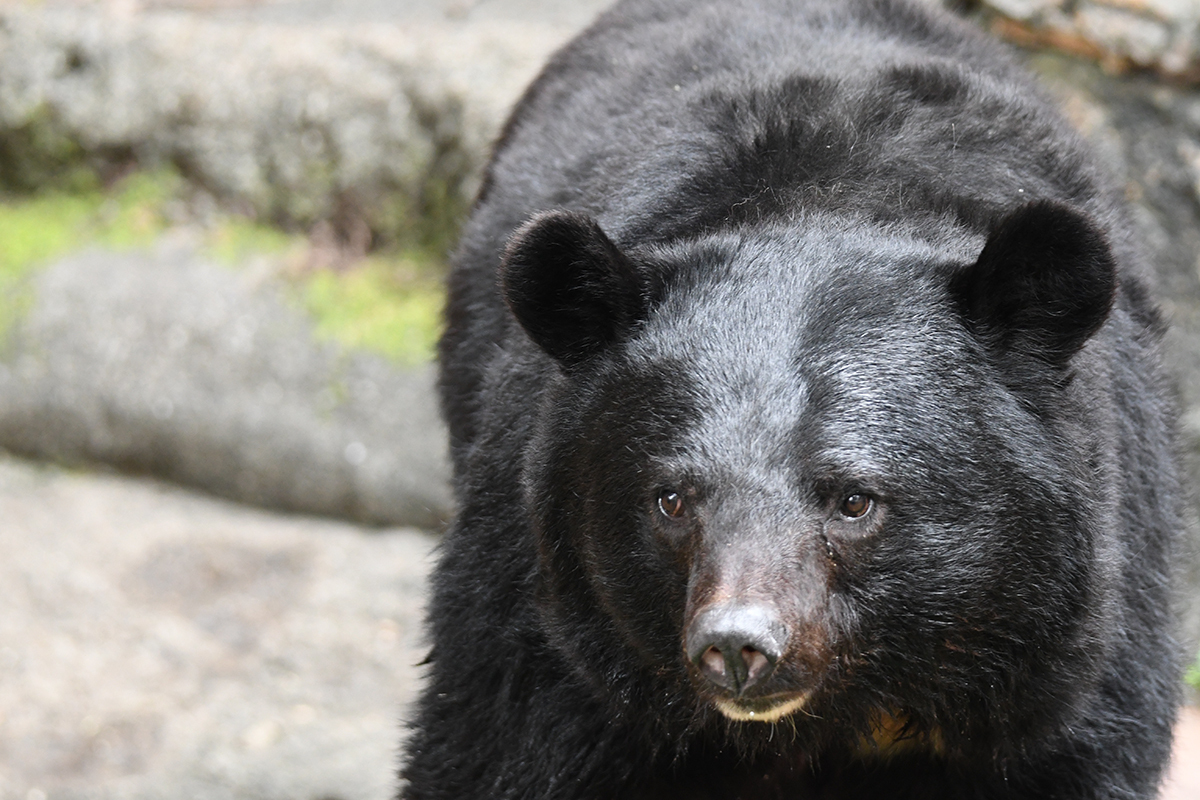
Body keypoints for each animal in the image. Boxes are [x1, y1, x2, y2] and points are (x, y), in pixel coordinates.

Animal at [400, 0, 1183, 798]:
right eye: (671, 499)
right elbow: (496, 743)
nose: (737, 647)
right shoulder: (548, 619)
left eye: (855, 501)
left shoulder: (1073, 657)